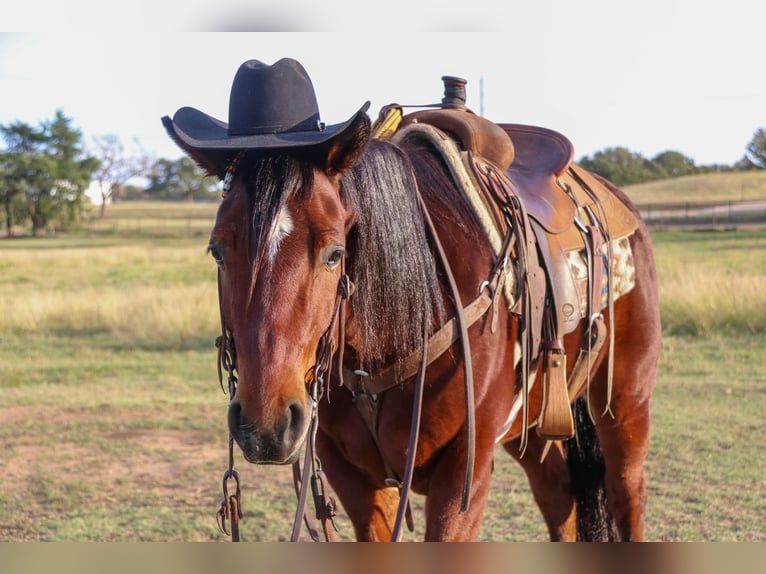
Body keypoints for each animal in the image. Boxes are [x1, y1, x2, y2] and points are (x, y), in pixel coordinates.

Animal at [165, 58, 664, 544]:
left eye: (334, 253)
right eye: (218, 250)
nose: (265, 425)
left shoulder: (463, 476)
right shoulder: (353, 479)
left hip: (625, 404)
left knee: (626, 493)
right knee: (559, 495)